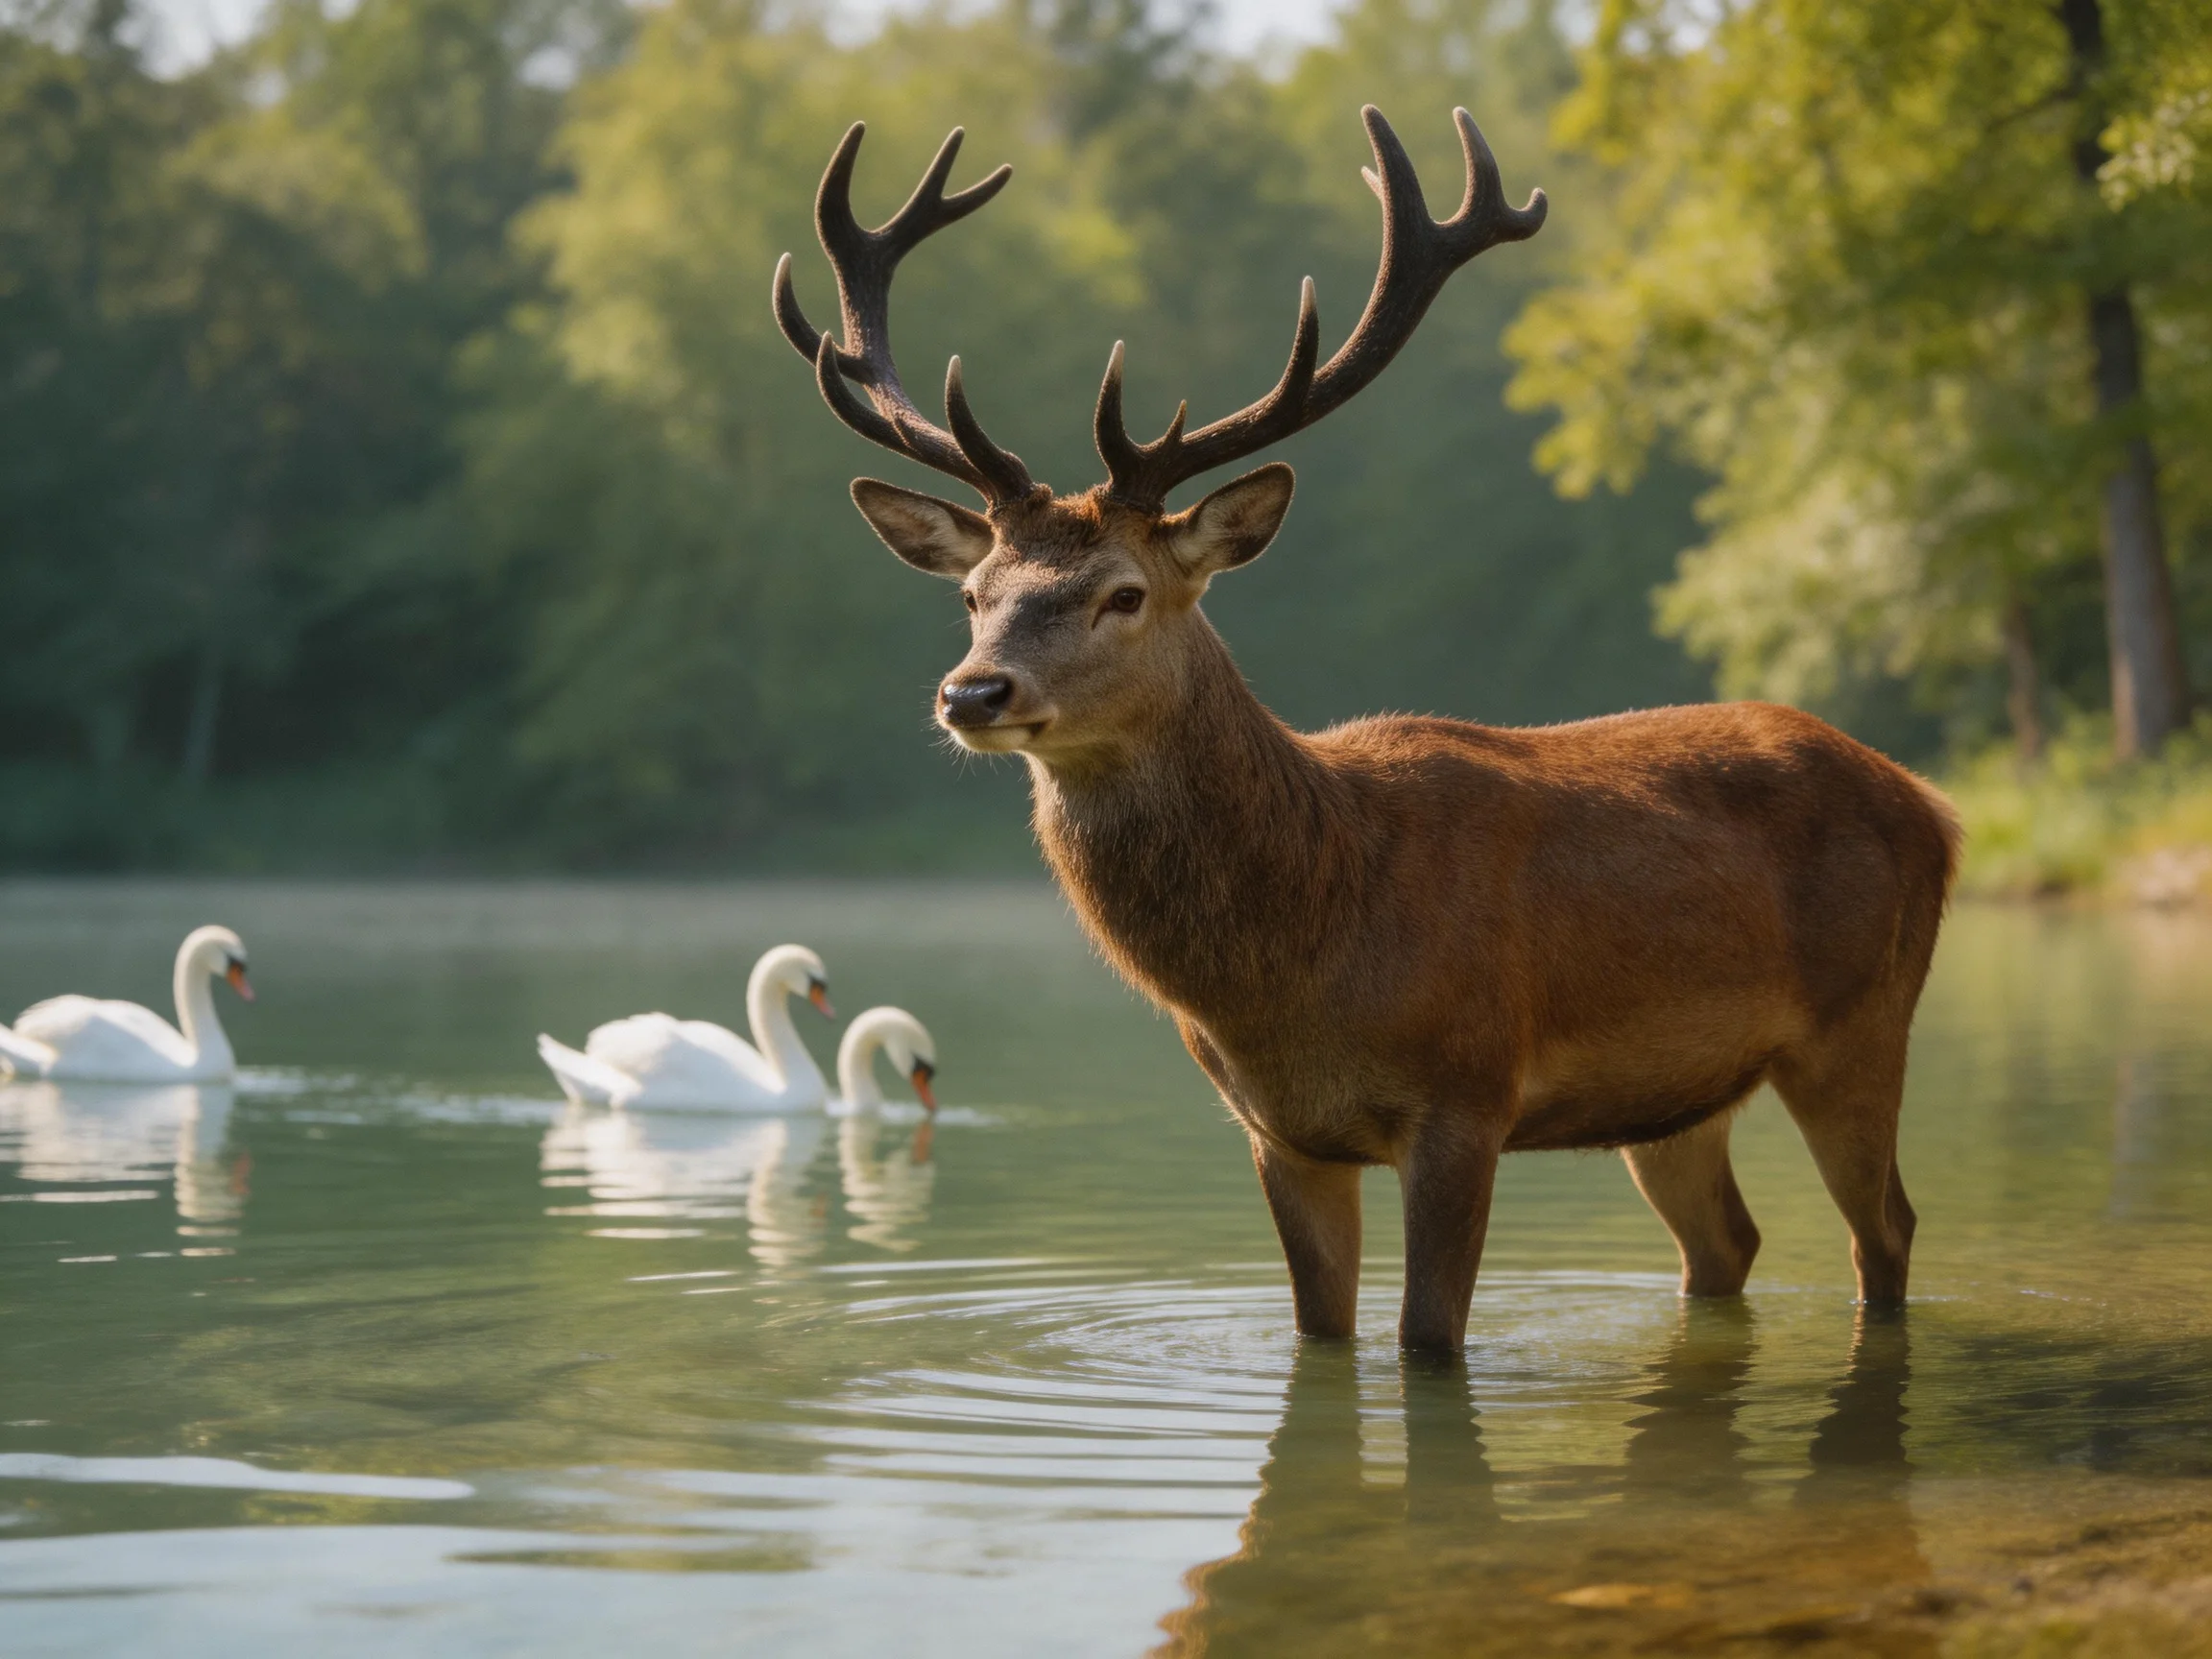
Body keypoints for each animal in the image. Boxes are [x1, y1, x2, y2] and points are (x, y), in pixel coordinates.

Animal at [772, 107, 1960, 1354]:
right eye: (973, 593)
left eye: (1123, 594)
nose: (973, 694)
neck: (1307, 949)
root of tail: (1936, 807)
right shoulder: (1278, 1132)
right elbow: (1319, 1333)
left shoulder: (1468, 1095)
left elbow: (1426, 1338)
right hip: (1679, 1096)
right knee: (1727, 1243)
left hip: (1862, 1021)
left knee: (1887, 1229)